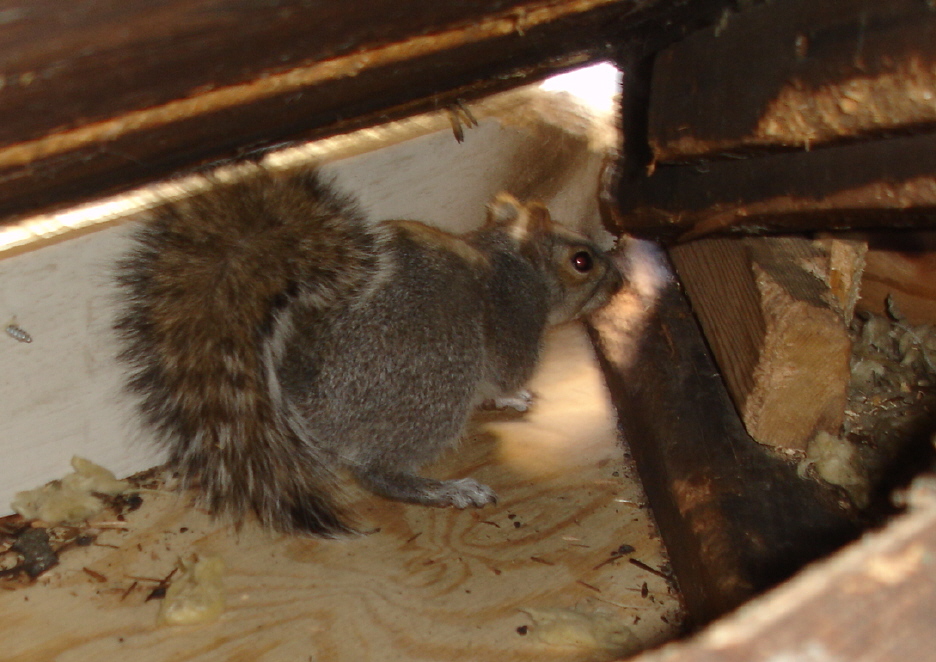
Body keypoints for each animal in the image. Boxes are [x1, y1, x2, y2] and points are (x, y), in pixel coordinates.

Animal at [119, 163, 628, 536]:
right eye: (582, 262)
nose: (621, 281)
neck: (512, 261)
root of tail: (304, 406)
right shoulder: (514, 322)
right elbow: (505, 373)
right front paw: (512, 393)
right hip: (437, 379)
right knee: (377, 472)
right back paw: (448, 490)